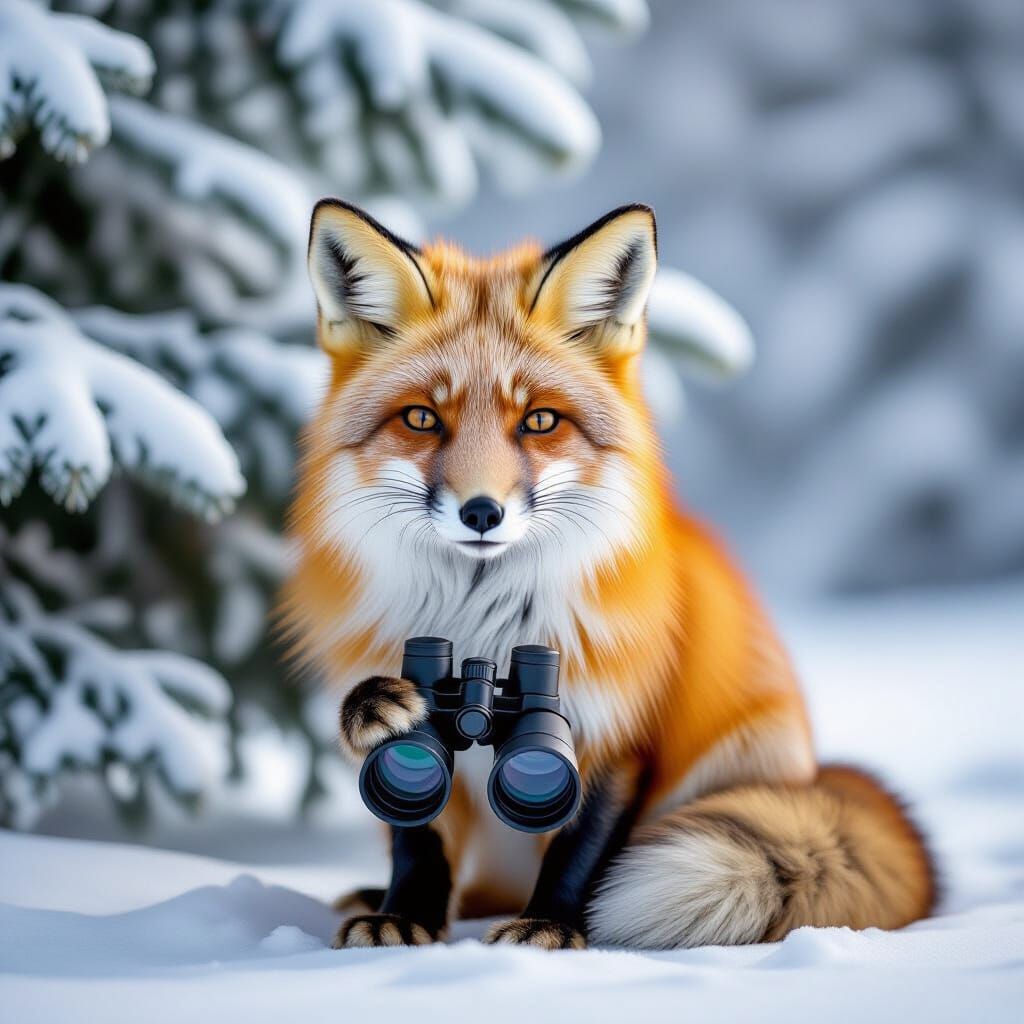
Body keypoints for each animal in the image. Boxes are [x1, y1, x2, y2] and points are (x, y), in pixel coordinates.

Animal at [280, 199, 936, 951]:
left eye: (539, 421)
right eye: (421, 417)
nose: (482, 511)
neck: (479, 627)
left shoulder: (620, 726)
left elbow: (583, 843)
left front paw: (551, 925)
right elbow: (415, 828)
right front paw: (404, 914)